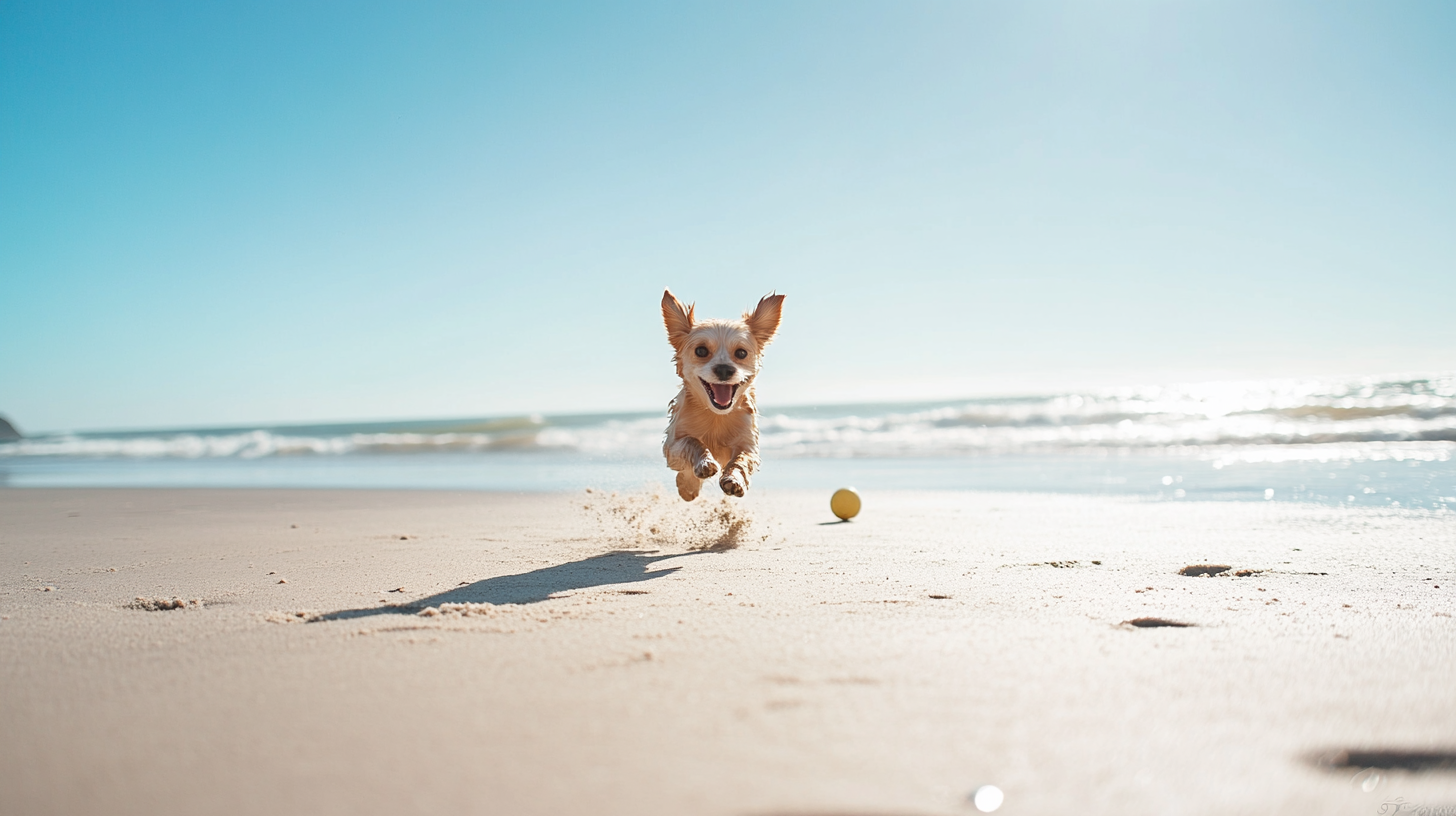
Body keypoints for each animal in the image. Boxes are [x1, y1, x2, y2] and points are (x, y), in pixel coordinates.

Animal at [661, 287, 786, 504]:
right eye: (701, 351)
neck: (716, 416)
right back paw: (687, 487)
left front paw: (734, 479)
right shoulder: (673, 444)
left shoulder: (748, 444)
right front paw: (704, 464)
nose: (724, 369)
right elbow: (692, 442)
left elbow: (741, 460)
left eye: (741, 353)